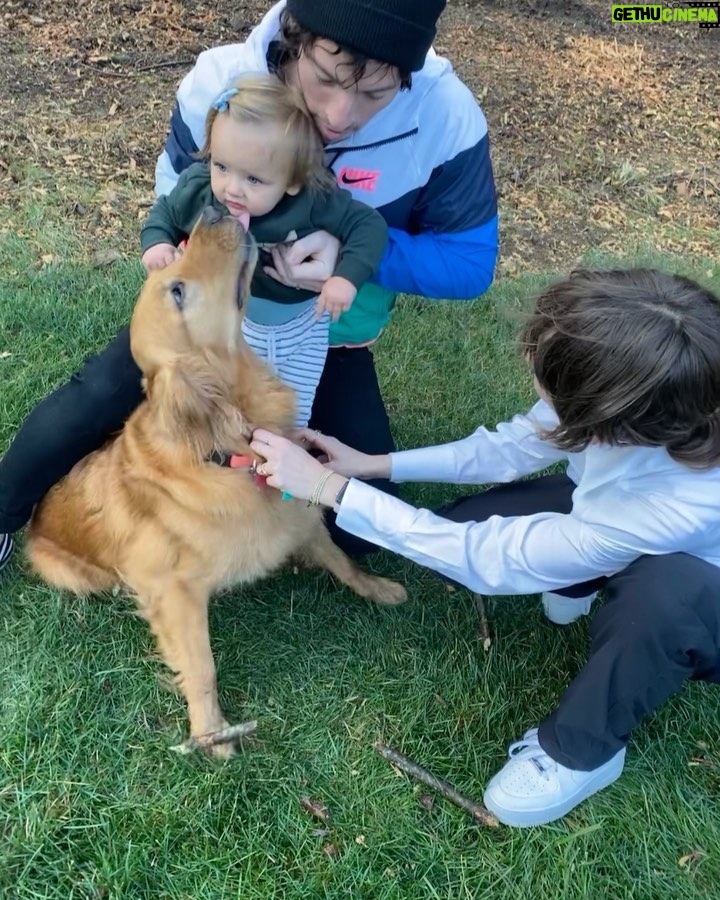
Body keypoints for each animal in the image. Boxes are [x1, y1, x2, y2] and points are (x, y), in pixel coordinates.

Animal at [26, 207, 404, 756]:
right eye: (178, 291)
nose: (213, 210)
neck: (226, 448)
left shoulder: (295, 514)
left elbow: (341, 557)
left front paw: (376, 587)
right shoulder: (174, 591)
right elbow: (201, 666)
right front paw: (212, 733)